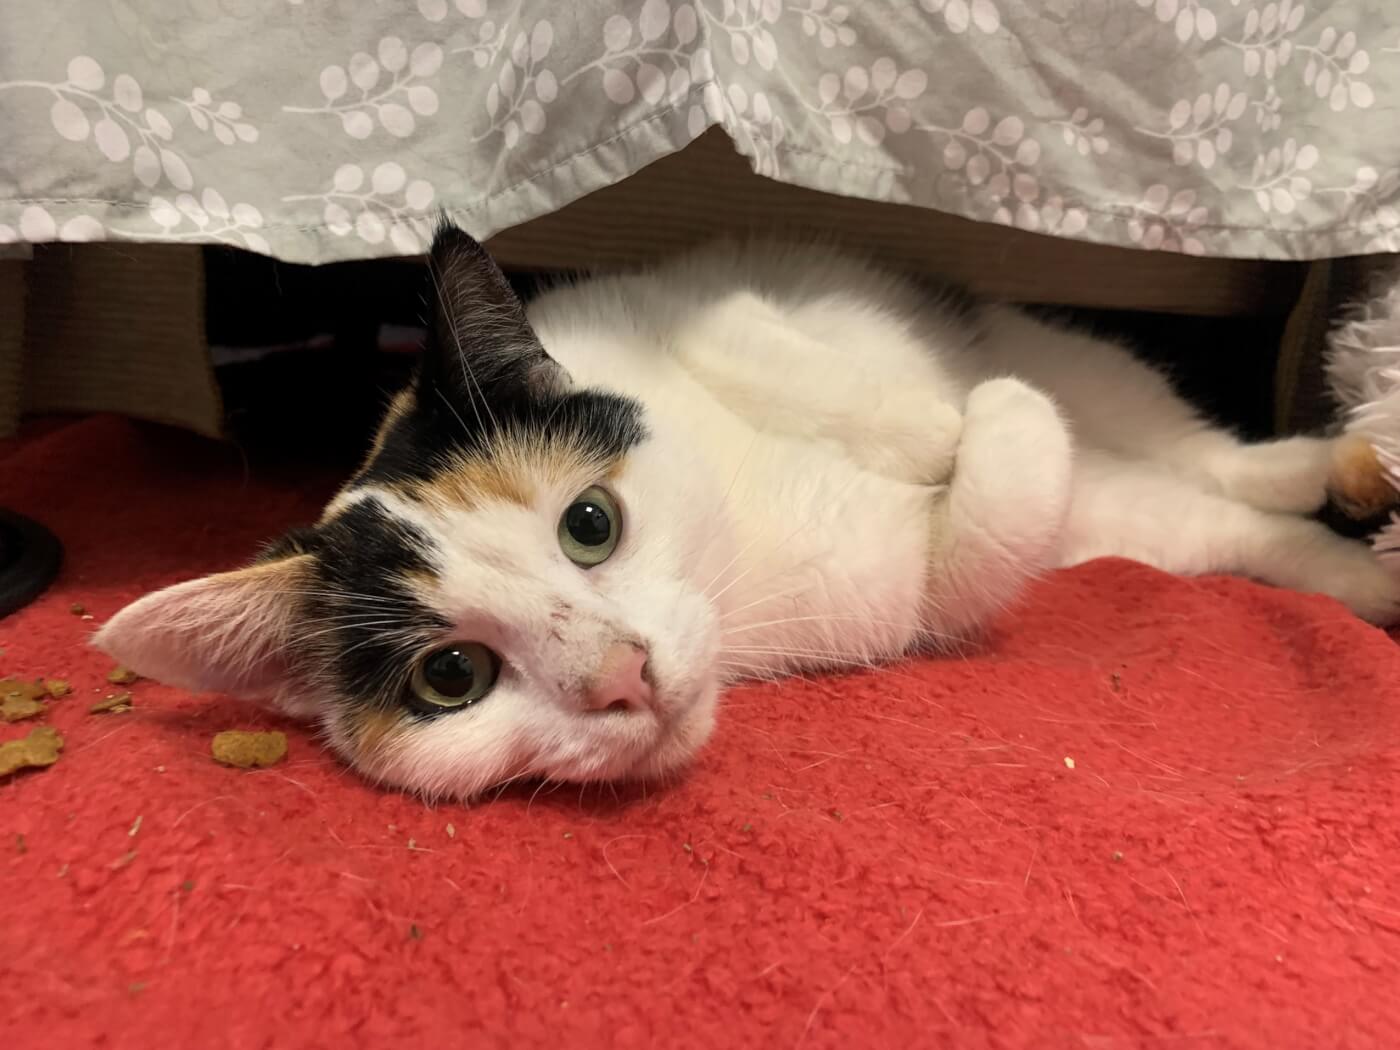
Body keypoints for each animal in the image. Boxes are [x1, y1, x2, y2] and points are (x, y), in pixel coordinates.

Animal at [93, 222, 1394, 795]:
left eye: (589, 525)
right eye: (450, 677)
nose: (621, 676)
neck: (746, 541)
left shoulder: (695, 311)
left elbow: (755, 335)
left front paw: (940, 416)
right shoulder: (911, 600)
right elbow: (990, 522)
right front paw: (984, 429)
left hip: (1086, 362)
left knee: (1196, 450)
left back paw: (1342, 460)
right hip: (1126, 520)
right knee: (1206, 518)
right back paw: (1362, 564)